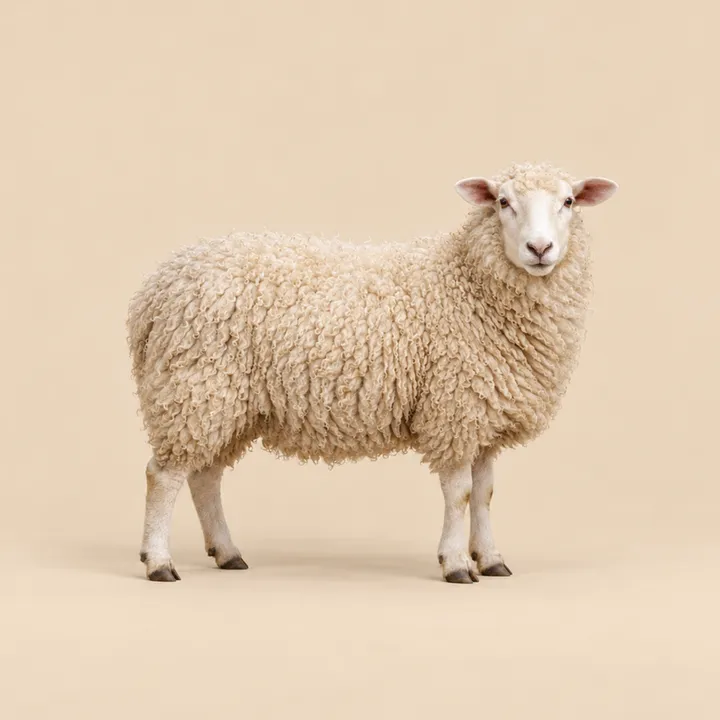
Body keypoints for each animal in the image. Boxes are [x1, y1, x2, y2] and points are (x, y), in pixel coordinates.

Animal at [127, 161, 618, 583]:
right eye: (502, 202)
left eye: (569, 201)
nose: (540, 249)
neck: (467, 282)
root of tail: (155, 290)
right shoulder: (453, 408)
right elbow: (460, 493)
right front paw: (457, 563)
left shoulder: (481, 414)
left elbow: (484, 494)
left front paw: (491, 558)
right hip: (194, 385)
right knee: (163, 476)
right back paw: (159, 561)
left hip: (220, 401)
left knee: (204, 477)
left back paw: (227, 552)